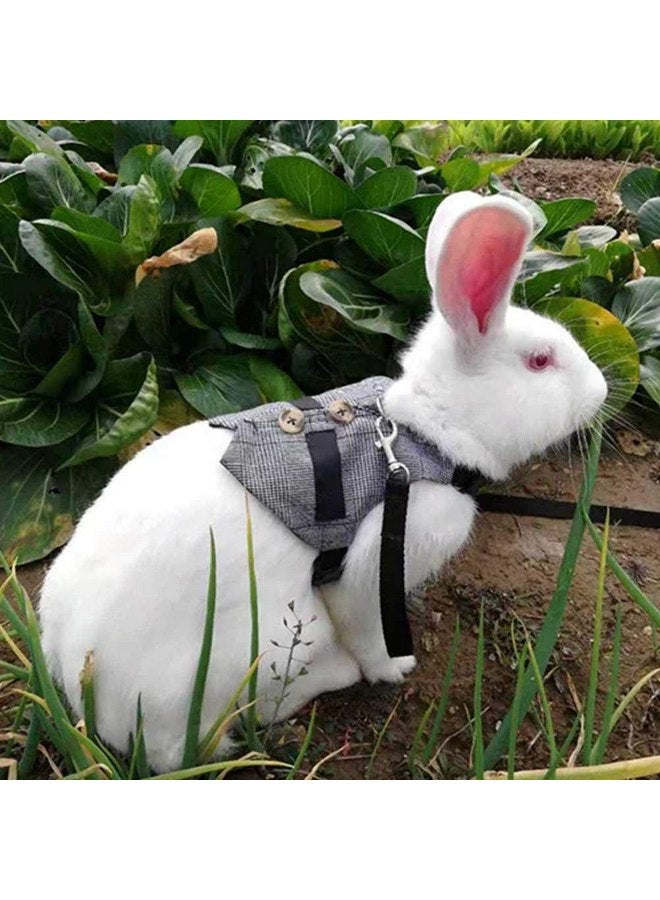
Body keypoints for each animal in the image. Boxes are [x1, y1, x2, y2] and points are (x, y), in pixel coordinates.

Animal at [39, 191, 608, 773]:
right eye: (540, 361)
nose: (602, 391)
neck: (423, 435)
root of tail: (87, 690)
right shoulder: (379, 562)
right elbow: (369, 633)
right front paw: (394, 669)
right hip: (262, 648)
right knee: (194, 744)